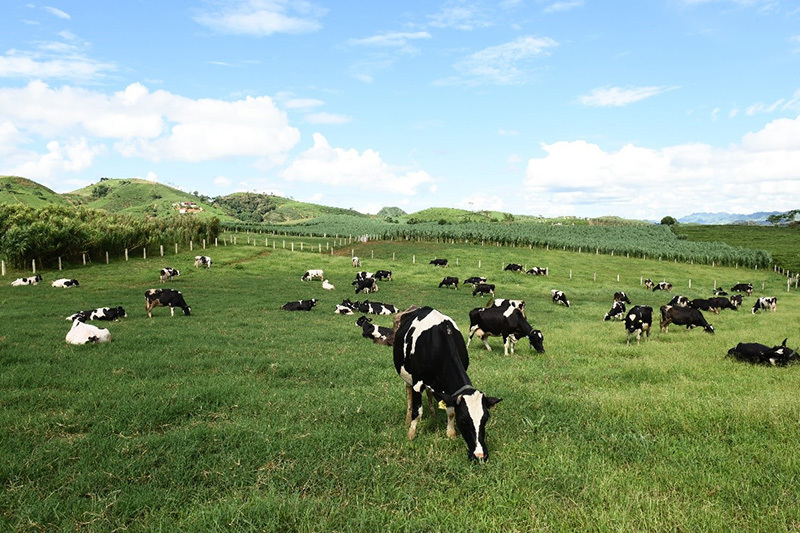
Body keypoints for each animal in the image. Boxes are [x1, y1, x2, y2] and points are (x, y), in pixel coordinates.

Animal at [394, 308, 500, 462]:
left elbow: (450, 411)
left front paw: (450, 433)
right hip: (407, 376)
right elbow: (418, 411)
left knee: (430, 393)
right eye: (463, 420)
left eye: (485, 419)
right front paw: (411, 434)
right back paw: (408, 419)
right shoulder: (417, 382)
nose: (480, 455)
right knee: (409, 395)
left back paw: (432, 413)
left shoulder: (449, 390)